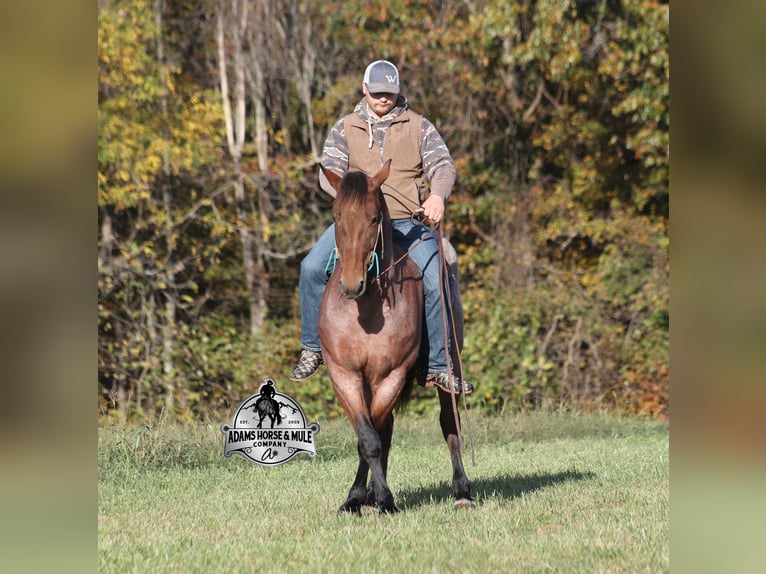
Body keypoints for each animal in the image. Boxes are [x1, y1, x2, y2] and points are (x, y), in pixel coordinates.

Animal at [317, 160, 474, 514]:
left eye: (374, 217)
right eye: (336, 215)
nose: (352, 284)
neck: (366, 312)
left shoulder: (391, 374)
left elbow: (374, 437)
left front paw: (384, 500)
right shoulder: (345, 375)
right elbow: (369, 436)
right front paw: (357, 498)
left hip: (450, 364)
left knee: (449, 423)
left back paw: (462, 491)